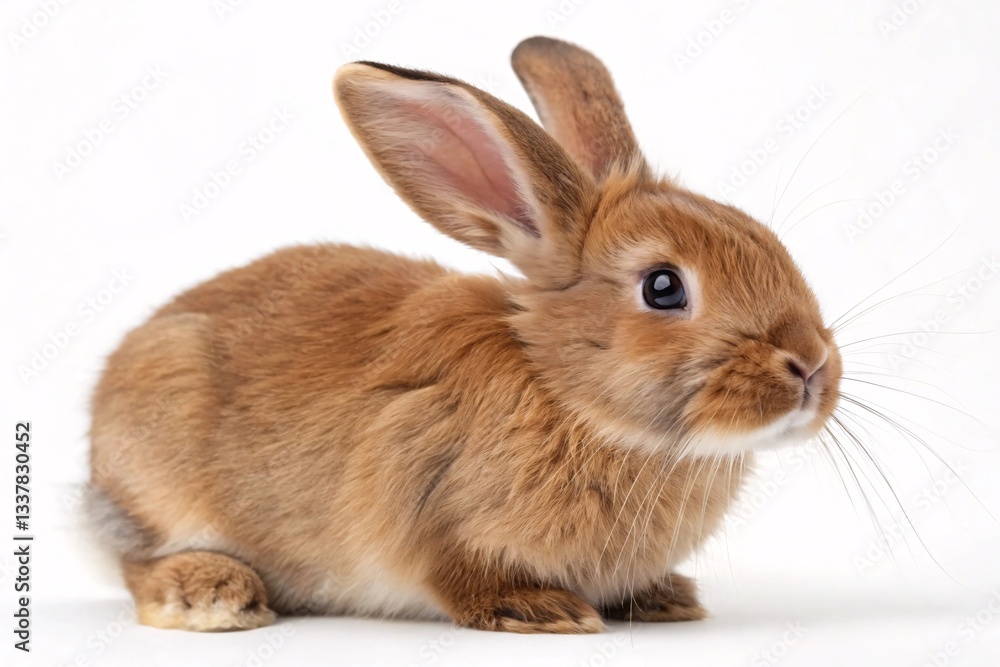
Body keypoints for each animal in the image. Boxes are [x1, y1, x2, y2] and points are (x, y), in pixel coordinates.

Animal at [87, 36, 841, 634]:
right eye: (663, 287)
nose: (810, 366)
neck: (566, 394)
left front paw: (664, 598)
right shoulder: (425, 500)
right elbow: (459, 574)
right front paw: (542, 610)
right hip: (162, 473)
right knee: (136, 561)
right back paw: (212, 594)